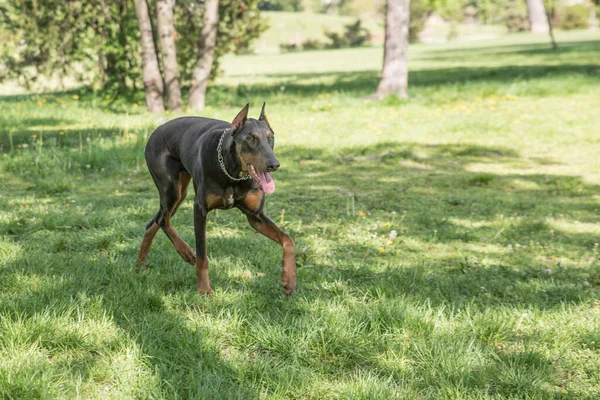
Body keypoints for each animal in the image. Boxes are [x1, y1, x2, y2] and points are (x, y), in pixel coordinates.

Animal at [137, 104, 296, 294]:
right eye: (251, 139)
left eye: (270, 137)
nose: (274, 164)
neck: (232, 173)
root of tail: (157, 129)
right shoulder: (200, 209)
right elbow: (202, 256)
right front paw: (204, 289)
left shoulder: (255, 216)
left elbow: (288, 240)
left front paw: (288, 279)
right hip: (170, 189)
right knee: (162, 220)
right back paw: (186, 252)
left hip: (180, 193)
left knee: (153, 222)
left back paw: (140, 266)